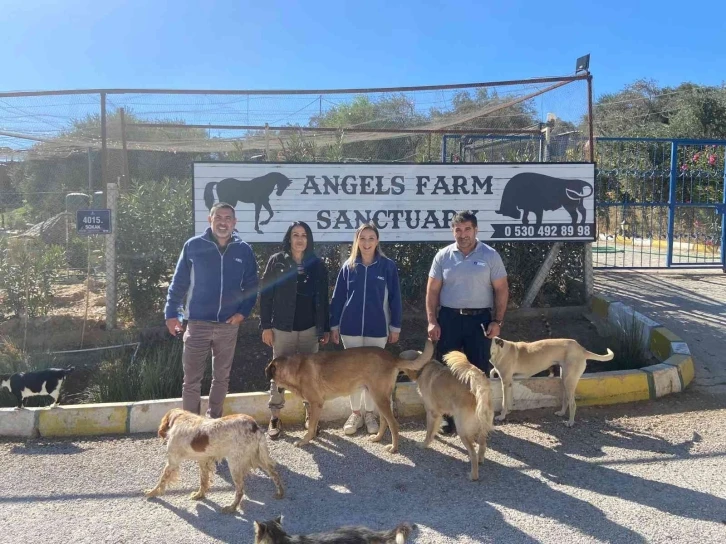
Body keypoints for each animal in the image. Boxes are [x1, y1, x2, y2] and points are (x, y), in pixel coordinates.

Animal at [144, 408, 284, 516]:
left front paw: (152, 492)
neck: (181, 418)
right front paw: (199, 495)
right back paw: (280, 493)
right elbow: (203, 481)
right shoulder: (203, 461)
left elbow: (161, 480)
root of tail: (254, 425)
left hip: (235, 464)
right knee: (275, 474)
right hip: (257, 458)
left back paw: (231, 508)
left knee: (240, 490)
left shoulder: (172, 462)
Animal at [268, 340, 436, 450]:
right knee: (384, 421)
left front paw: (305, 441)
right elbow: (313, 426)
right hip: (378, 397)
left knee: (393, 424)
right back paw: (377, 438)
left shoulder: (316, 404)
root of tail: (392, 357)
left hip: (379, 398)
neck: (295, 369)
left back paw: (393, 448)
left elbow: (310, 429)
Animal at [400, 348, 498, 480]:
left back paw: (473, 475)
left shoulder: (431, 412)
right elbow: (435, 428)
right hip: (482, 426)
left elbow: (429, 431)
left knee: (472, 453)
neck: (424, 367)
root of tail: (480, 384)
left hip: (462, 429)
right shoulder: (438, 413)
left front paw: (424, 444)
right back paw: (480, 460)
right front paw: (436, 435)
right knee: (483, 445)